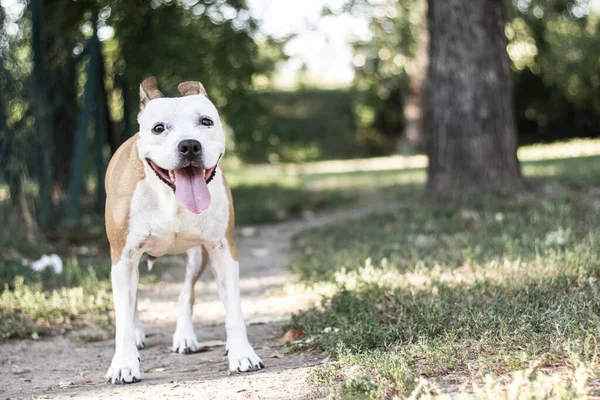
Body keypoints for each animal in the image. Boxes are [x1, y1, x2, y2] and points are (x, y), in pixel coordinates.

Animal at [104, 76, 264, 384]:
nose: (189, 145)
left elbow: (234, 311)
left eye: (206, 121)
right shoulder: (123, 255)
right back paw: (139, 334)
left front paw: (242, 354)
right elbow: (123, 316)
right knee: (133, 300)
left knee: (185, 294)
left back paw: (185, 337)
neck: (169, 195)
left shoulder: (222, 249)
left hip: (197, 255)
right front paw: (124, 364)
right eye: (158, 128)